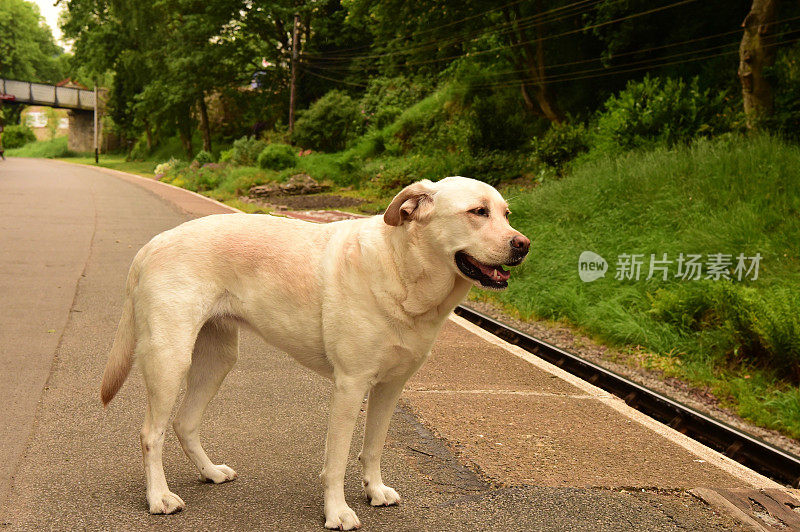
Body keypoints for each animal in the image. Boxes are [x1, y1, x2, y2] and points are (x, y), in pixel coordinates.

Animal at [100, 178, 528, 528]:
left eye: (506, 214)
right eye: (478, 212)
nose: (524, 244)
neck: (403, 268)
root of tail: (152, 244)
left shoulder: (390, 387)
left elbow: (372, 448)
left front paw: (374, 490)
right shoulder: (350, 386)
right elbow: (336, 461)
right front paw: (337, 512)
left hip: (218, 360)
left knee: (184, 423)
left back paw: (210, 472)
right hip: (170, 358)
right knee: (151, 433)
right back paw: (159, 498)